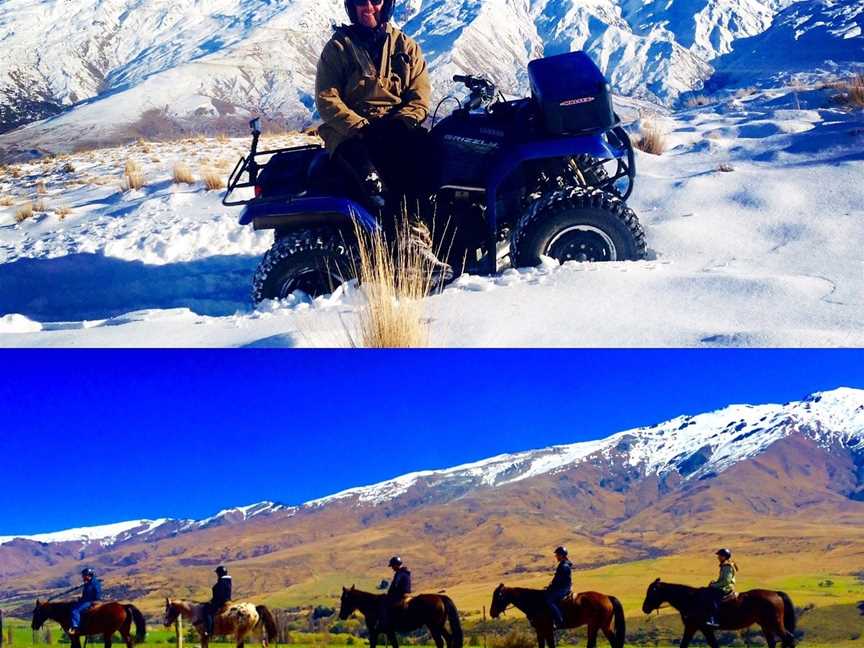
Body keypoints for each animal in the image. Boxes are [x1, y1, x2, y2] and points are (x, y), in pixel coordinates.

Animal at [490, 584, 624, 648]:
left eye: (498, 596)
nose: (492, 612)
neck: (536, 602)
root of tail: (607, 597)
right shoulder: (539, 631)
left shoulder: (548, 629)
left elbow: (551, 645)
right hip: (599, 626)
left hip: (598, 625)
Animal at [640, 580, 796, 648]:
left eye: (652, 591)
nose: (645, 608)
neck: (691, 600)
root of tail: (776, 594)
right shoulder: (695, 628)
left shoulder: (700, 627)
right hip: (765, 624)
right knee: (773, 642)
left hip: (774, 623)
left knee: (788, 638)